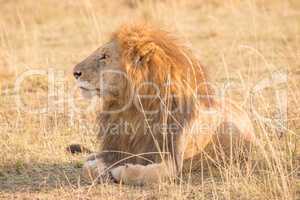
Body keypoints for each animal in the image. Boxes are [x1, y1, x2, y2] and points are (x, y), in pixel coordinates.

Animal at [71, 23, 255, 186]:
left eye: (104, 56)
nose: (75, 72)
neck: (133, 109)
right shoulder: (114, 149)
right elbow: (87, 167)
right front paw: (101, 169)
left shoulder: (172, 160)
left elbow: (151, 173)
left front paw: (118, 171)